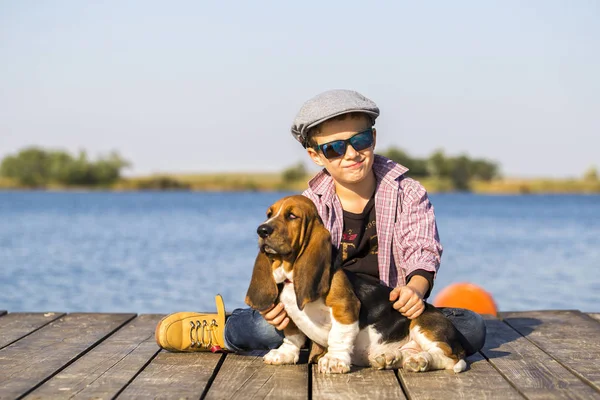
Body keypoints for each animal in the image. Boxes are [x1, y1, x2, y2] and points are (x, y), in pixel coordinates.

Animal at [245, 195, 468, 374]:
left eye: (292, 216)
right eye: (269, 214)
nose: (262, 230)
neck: (290, 275)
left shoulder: (344, 306)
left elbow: (338, 335)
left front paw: (334, 360)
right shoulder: (290, 314)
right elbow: (292, 335)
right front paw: (283, 354)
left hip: (421, 323)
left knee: (449, 358)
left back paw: (420, 360)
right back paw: (390, 357)